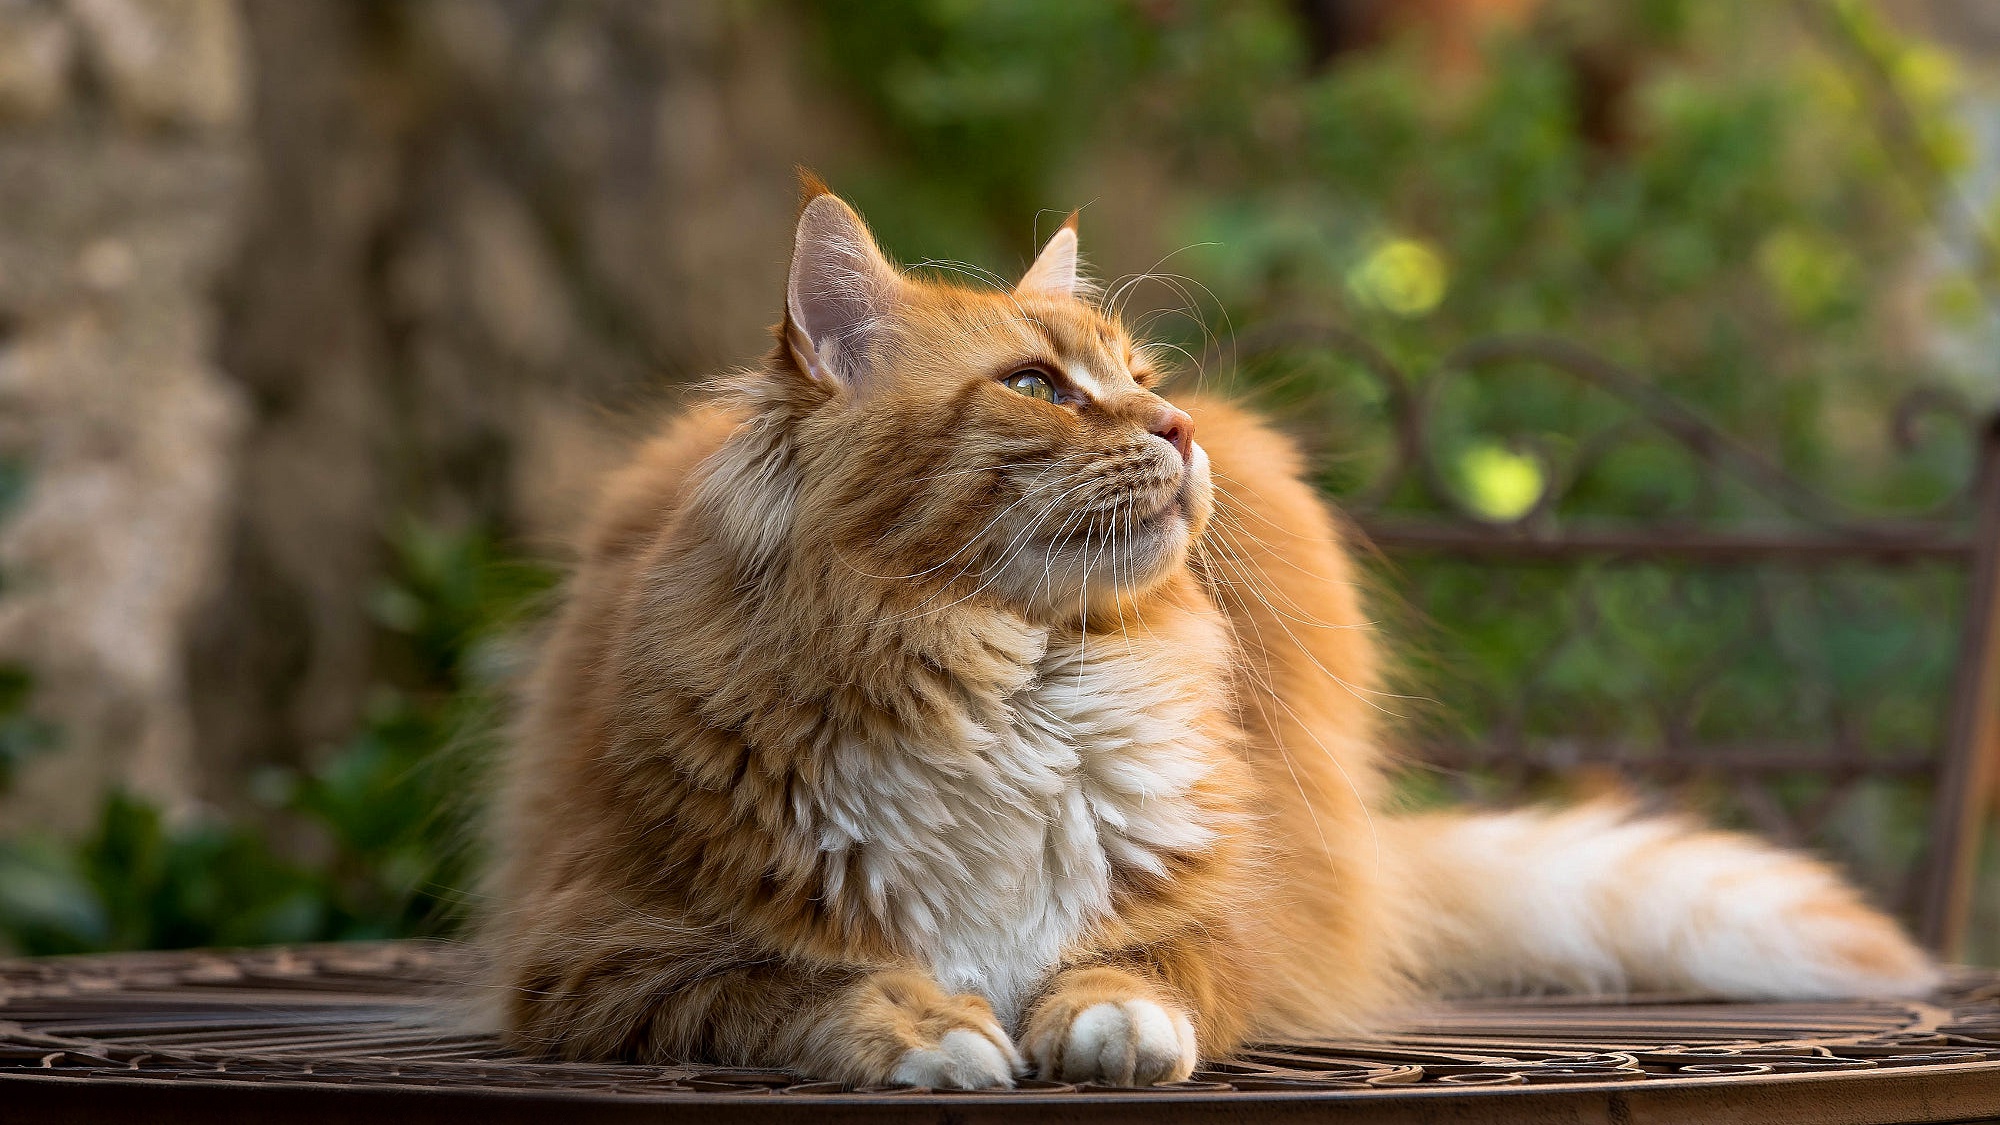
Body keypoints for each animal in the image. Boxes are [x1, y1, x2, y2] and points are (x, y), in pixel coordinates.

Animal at [484, 184, 1936, 1088]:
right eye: (1036, 386)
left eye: (1140, 380)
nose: (1177, 428)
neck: (1010, 682)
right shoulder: (606, 950)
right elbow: (796, 984)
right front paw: (926, 1031)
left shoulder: (1236, 913)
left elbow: (1141, 965)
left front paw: (1108, 1024)